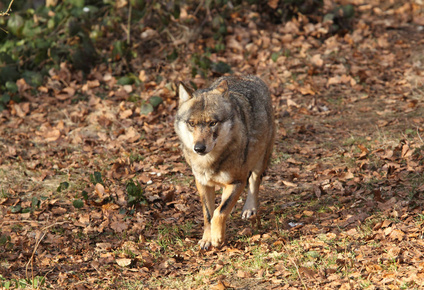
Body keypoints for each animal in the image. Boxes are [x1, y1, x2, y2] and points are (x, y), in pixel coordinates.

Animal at [175, 75, 274, 249]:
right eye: (191, 123)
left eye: (213, 123)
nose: (199, 148)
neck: (209, 162)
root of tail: (249, 76)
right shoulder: (202, 183)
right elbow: (209, 214)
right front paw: (207, 239)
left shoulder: (237, 182)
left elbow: (220, 212)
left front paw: (217, 238)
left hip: (260, 161)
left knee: (254, 182)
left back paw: (250, 208)